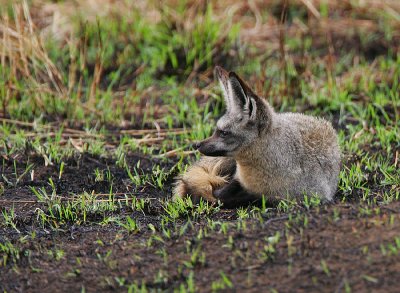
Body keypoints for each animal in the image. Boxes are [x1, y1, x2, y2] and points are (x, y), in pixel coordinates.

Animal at [173, 66, 340, 208]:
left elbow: (241, 197)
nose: (197, 145)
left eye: (224, 132)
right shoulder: (238, 180)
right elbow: (220, 193)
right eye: (216, 130)